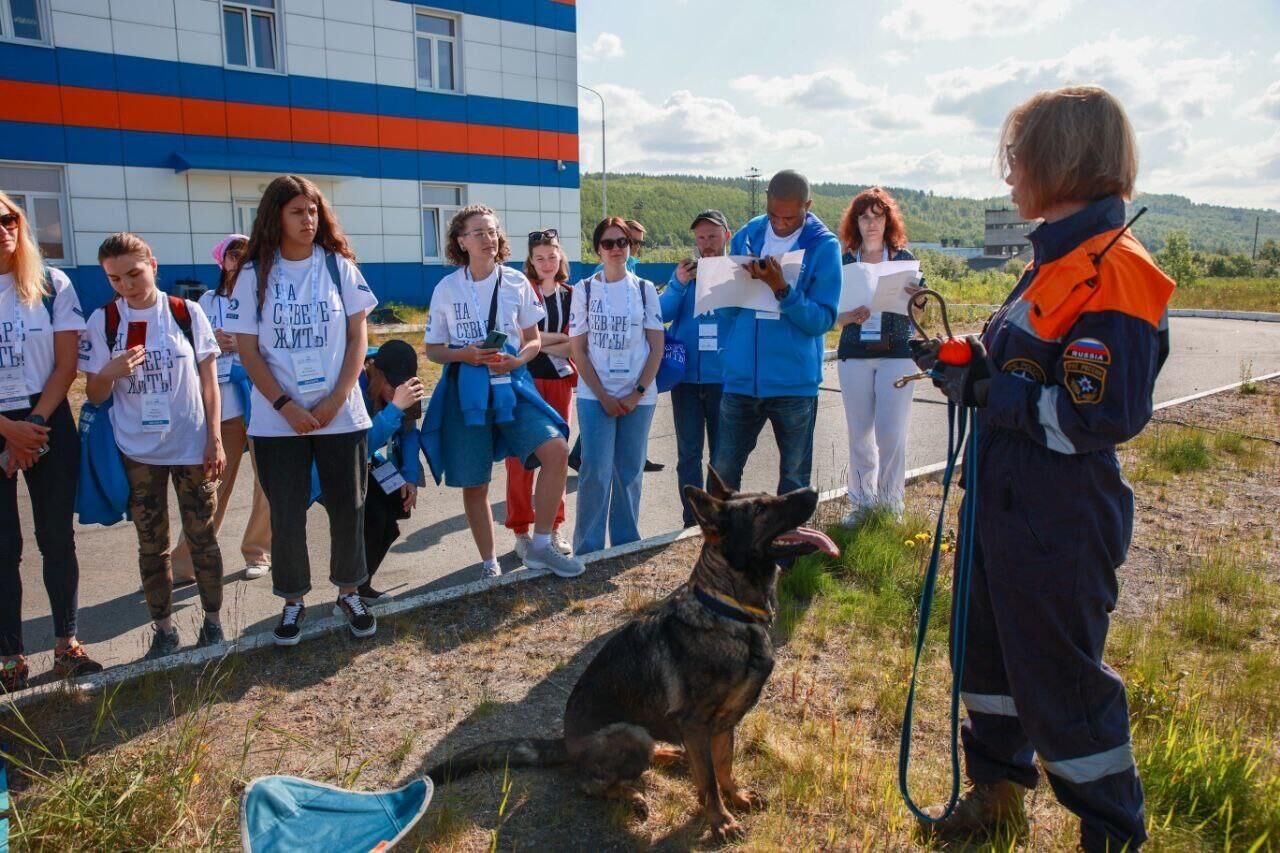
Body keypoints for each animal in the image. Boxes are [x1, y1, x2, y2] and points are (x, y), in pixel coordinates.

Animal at [427, 471, 839, 835]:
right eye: (760, 509)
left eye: (769, 497)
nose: (812, 490)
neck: (728, 609)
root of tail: (567, 743)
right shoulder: (696, 723)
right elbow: (708, 782)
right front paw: (720, 821)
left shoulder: (724, 724)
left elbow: (723, 767)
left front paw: (736, 799)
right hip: (630, 735)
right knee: (589, 783)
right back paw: (630, 794)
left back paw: (672, 755)